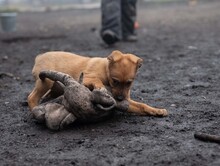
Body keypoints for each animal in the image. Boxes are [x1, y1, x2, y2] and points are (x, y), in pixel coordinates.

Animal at [28, 50, 168, 116]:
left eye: (129, 83)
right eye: (115, 81)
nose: (120, 99)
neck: (106, 70)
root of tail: (39, 57)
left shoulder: (128, 101)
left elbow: (142, 106)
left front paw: (157, 110)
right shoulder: (87, 77)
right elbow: (97, 80)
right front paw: (101, 89)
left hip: (53, 87)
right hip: (46, 82)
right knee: (31, 97)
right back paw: (36, 111)